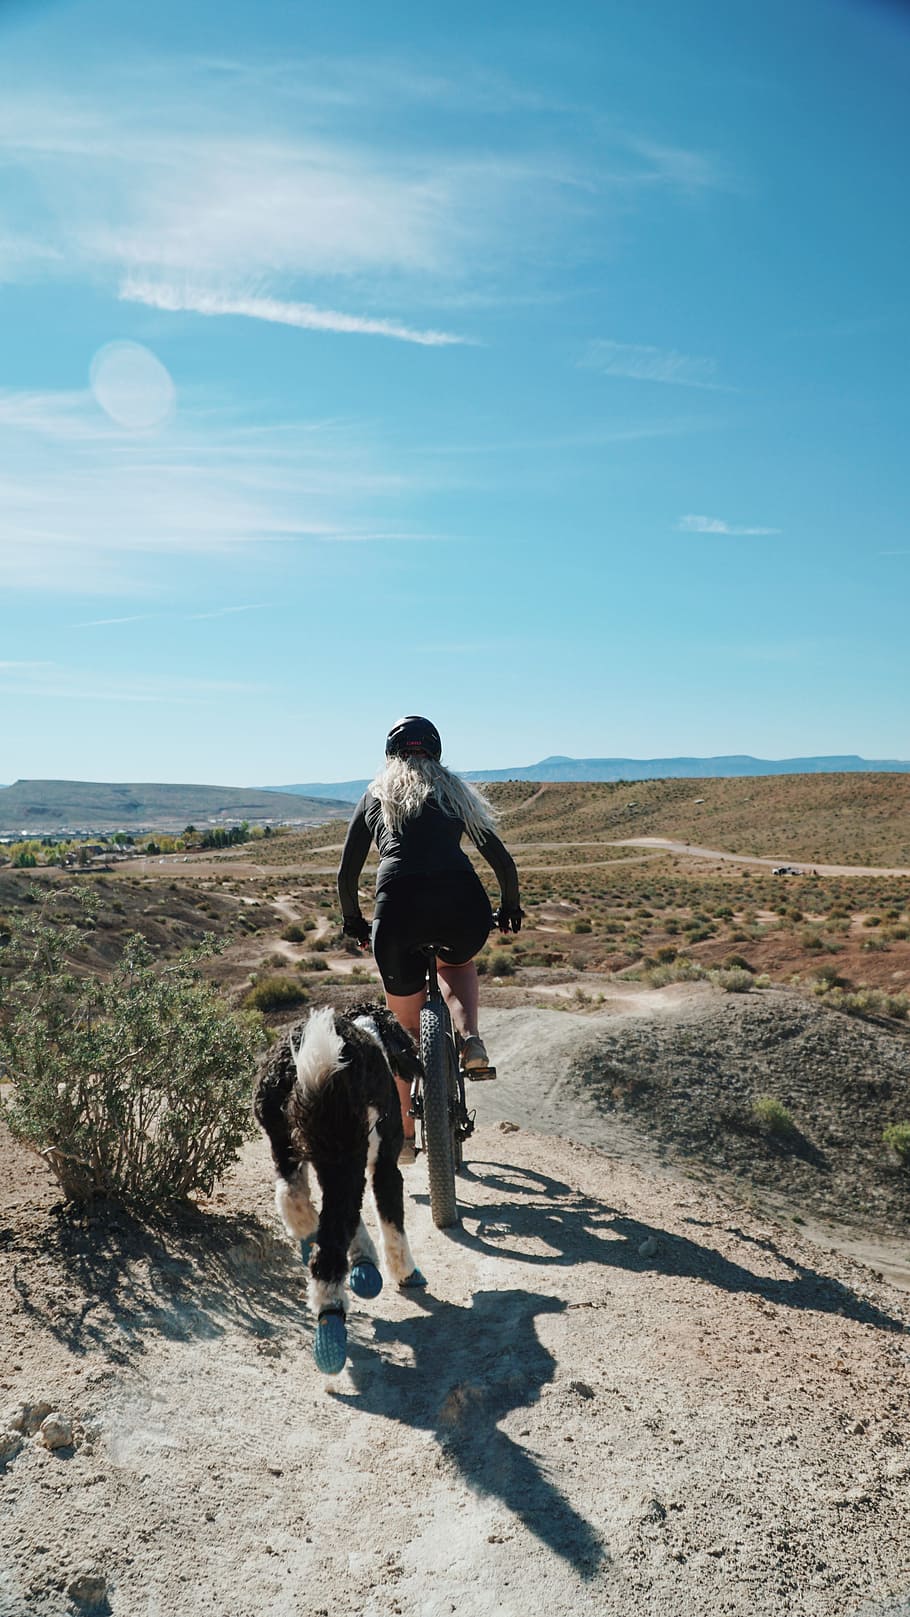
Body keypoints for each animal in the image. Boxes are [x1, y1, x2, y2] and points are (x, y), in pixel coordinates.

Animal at [252, 1002, 426, 1358]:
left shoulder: (328, 1163)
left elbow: (354, 1219)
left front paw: (364, 1264)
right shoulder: (383, 1166)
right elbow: (391, 1221)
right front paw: (405, 1271)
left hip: (288, 1144)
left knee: (293, 1199)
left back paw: (308, 1235)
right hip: (345, 1152)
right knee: (330, 1240)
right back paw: (329, 1320)